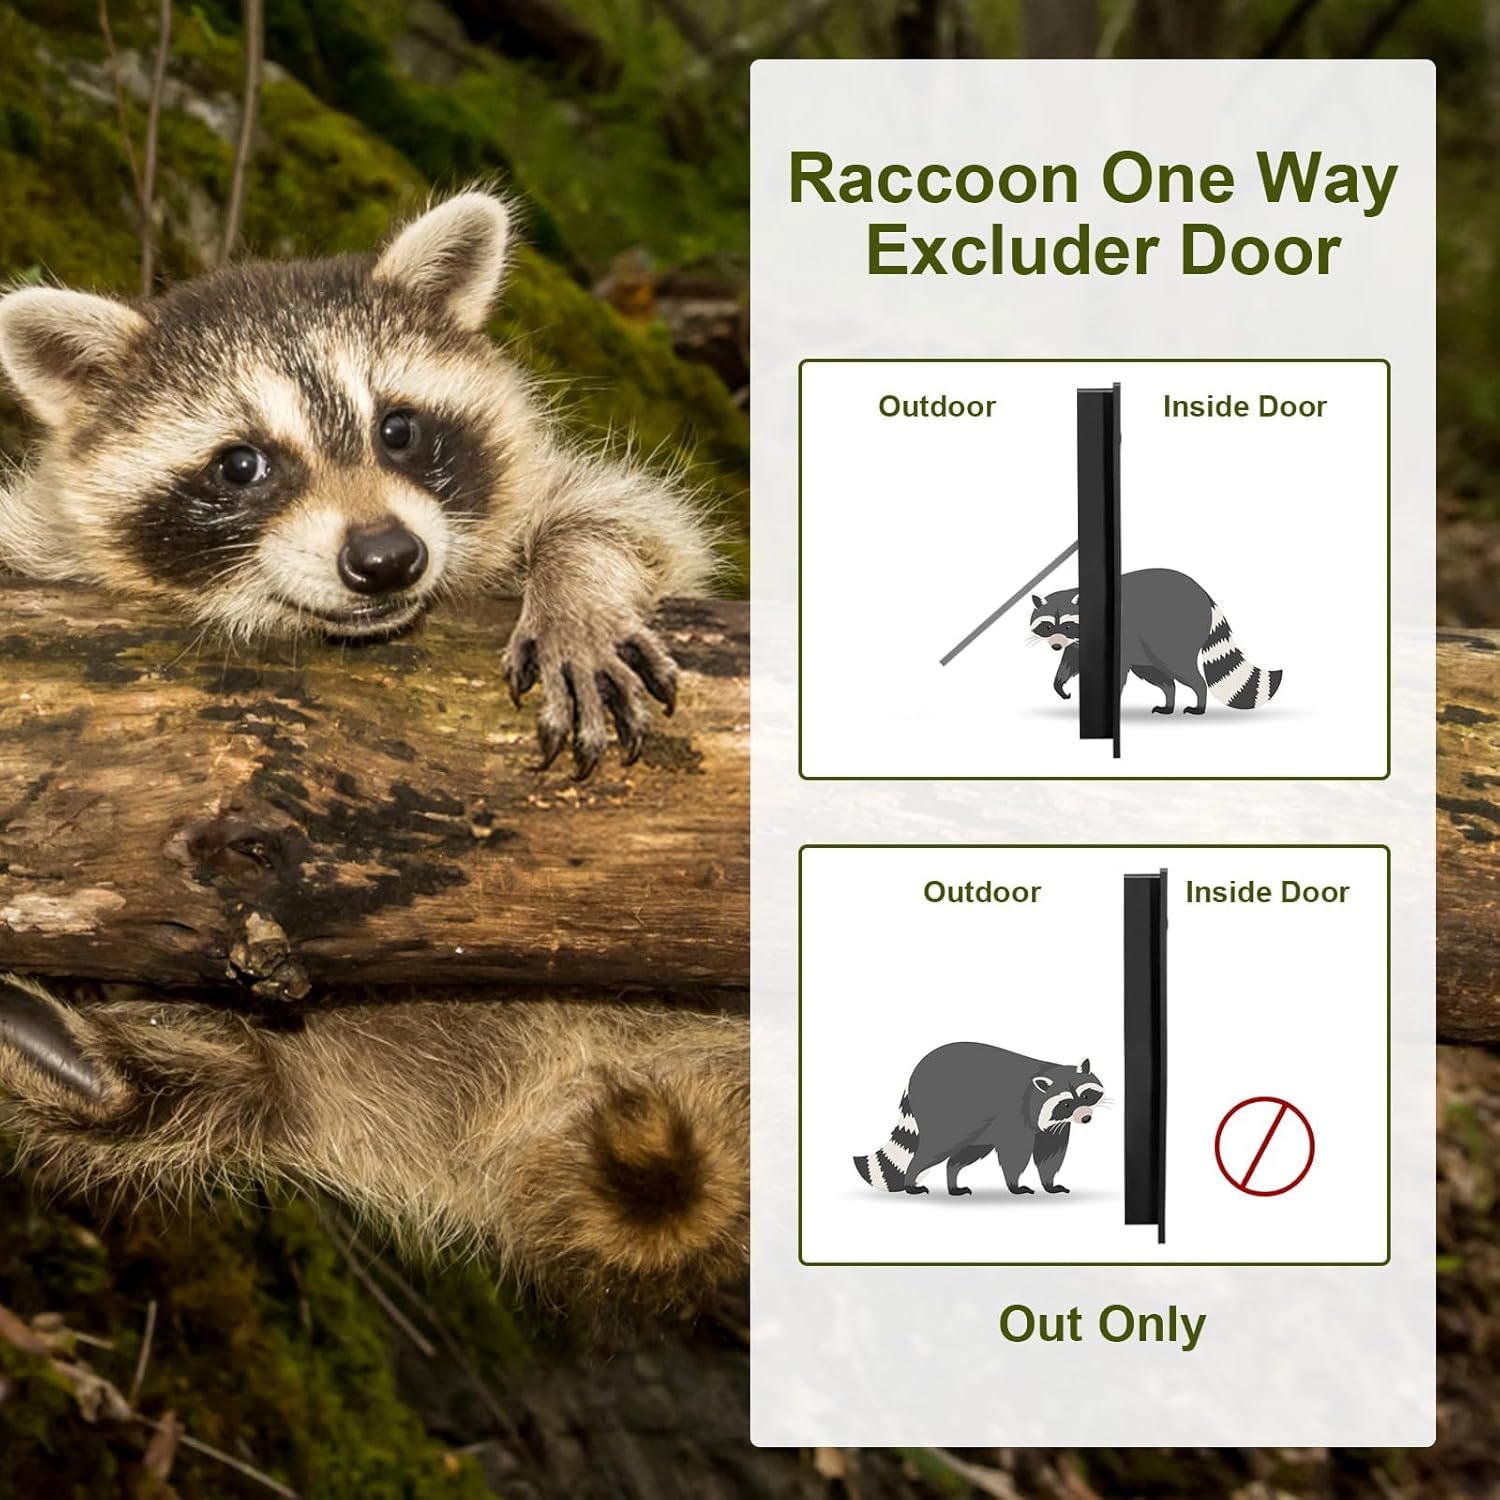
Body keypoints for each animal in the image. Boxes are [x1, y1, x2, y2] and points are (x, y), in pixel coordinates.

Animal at [854, 1043, 1103, 1197]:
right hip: (944, 1114)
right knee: (934, 1149)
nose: (1086, 1118)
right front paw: (1015, 1185)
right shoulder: (1017, 1116)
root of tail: (911, 1079)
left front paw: (1048, 1184)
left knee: (965, 1153)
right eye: (1066, 1104)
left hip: (979, 1127)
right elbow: (1015, 1153)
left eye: (1086, 1096)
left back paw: (952, 1181)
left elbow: (1050, 1152)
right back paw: (911, 1180)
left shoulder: (1052, 1125)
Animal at [1029, 567, 1282, 714]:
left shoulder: (1120, 634)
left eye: (1068, 625)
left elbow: (1115, 671)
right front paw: (1060, 683)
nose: (1055, 646)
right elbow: (1072, 660)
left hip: (1173, 635)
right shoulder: (1080, 642)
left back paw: (1199, 700)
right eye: (1048, 626)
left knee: (1183, 670)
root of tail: (1206, 597)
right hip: (1148, 649)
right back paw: (1169, 701)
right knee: (1159, 676)